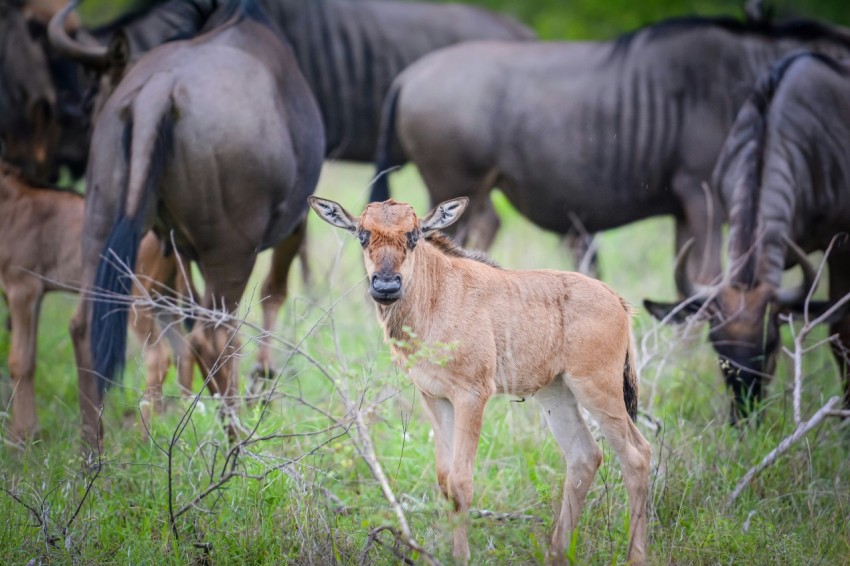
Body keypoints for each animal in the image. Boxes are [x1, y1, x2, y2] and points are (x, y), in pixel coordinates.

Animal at [0, 162, 192, 442]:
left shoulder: (23, 288)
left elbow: (19, 361)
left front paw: (22, 436)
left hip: (135, 300)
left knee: (158, 357)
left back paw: (142, 434)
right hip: (163, 299)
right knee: (184, 351)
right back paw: (183, 418)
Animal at [312, 197, 648, 564]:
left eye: (413, 235)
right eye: (362, 234)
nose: (386, 287)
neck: (437, 294)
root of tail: (618, 301)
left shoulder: (472, 395)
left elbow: (461, 482)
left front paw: (461, 556)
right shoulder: (435, 397)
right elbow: (444, 480)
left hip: (597, 389)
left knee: (637, 455)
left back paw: (635, 556)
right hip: (556, 393)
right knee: (584, 456)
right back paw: (556, 552)